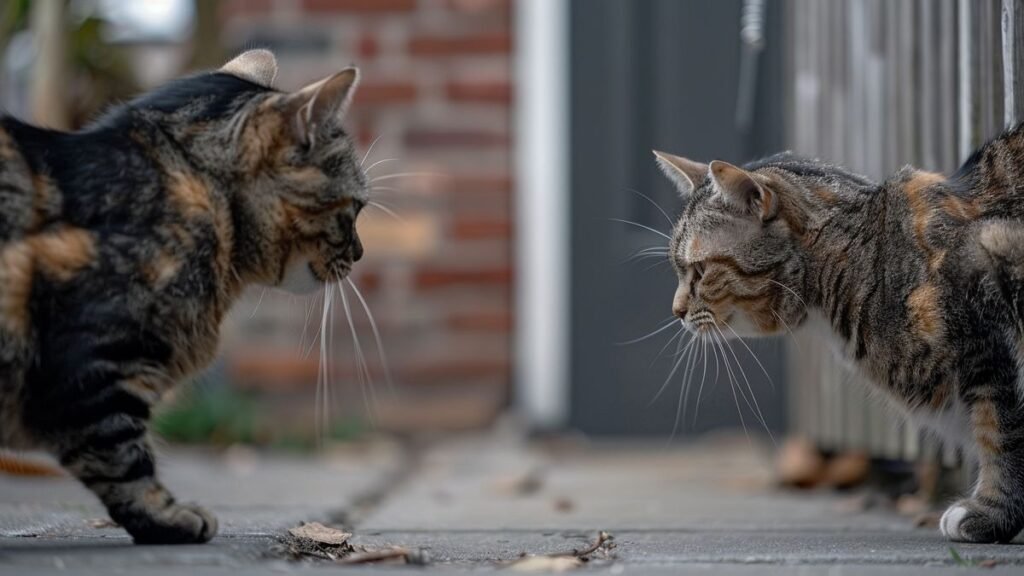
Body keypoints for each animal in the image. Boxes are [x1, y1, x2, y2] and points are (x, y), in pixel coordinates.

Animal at [651, 135, 1024, 541]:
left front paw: (992, 513)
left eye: (700, 271)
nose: (675, 310)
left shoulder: (989, 343)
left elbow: (1001, 433)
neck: (866, 256)